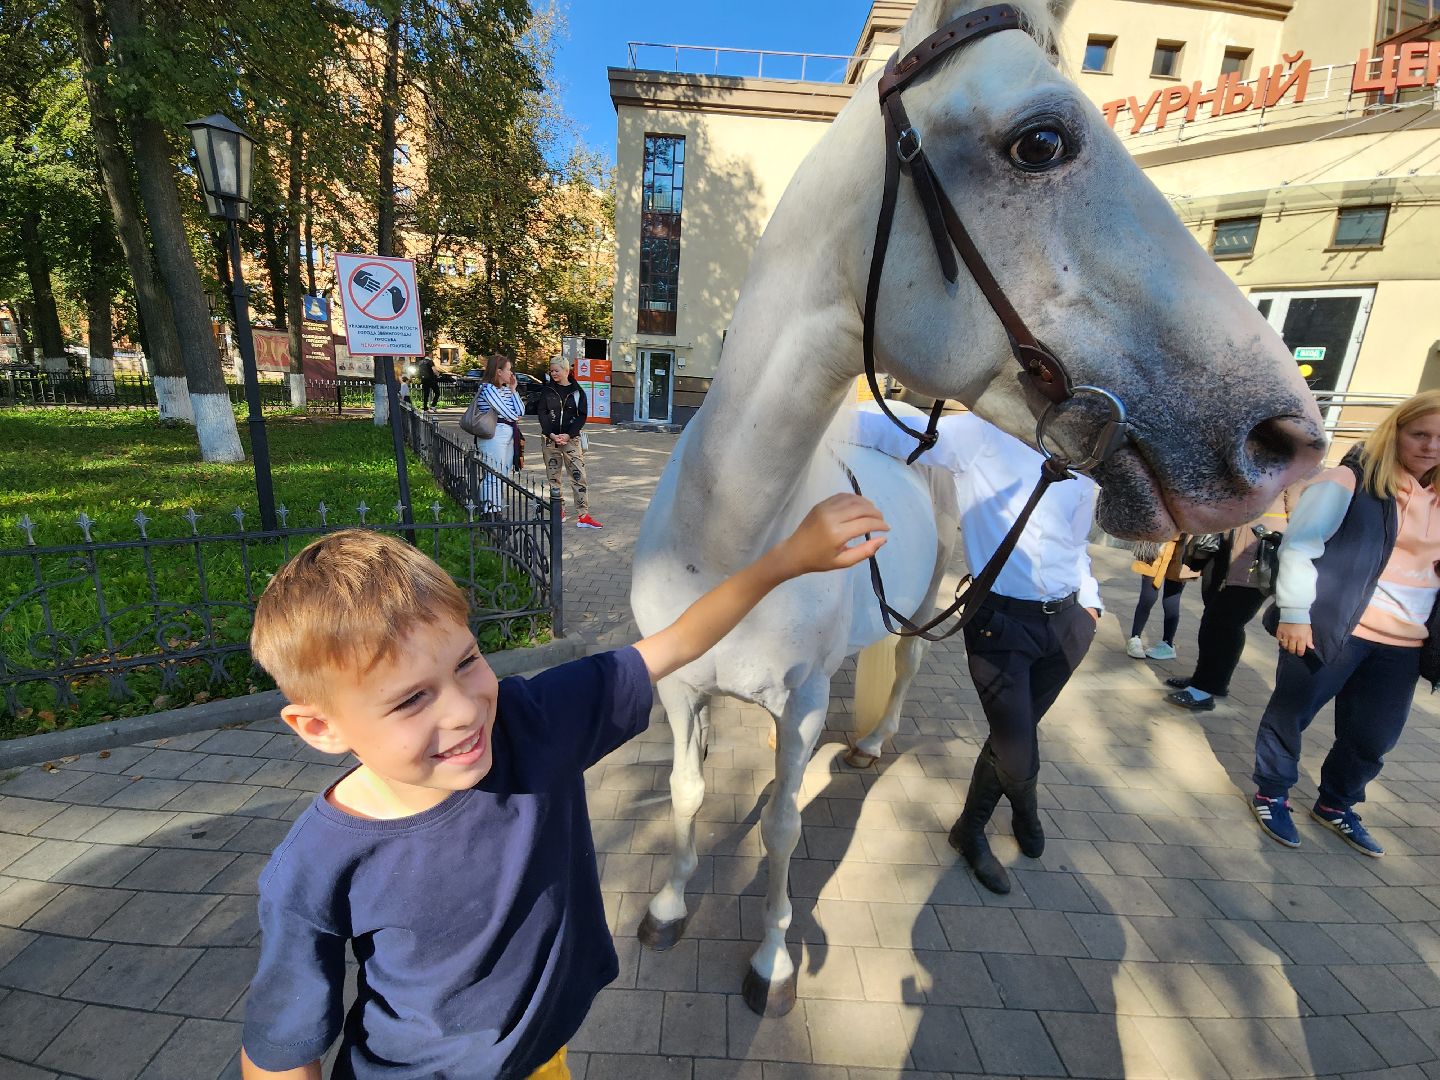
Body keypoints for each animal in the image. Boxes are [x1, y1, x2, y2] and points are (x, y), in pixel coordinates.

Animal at [629, 0, 1325, 1017]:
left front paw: (773, 962)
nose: (1285, 440)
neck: (731, 541)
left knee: (910, 669)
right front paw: (669, 908)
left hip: (927, 603)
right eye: (1040, 142)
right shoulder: (680, 688)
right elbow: (684, 798)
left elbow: (783, 829)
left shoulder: (799, 705)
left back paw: (874, 746)